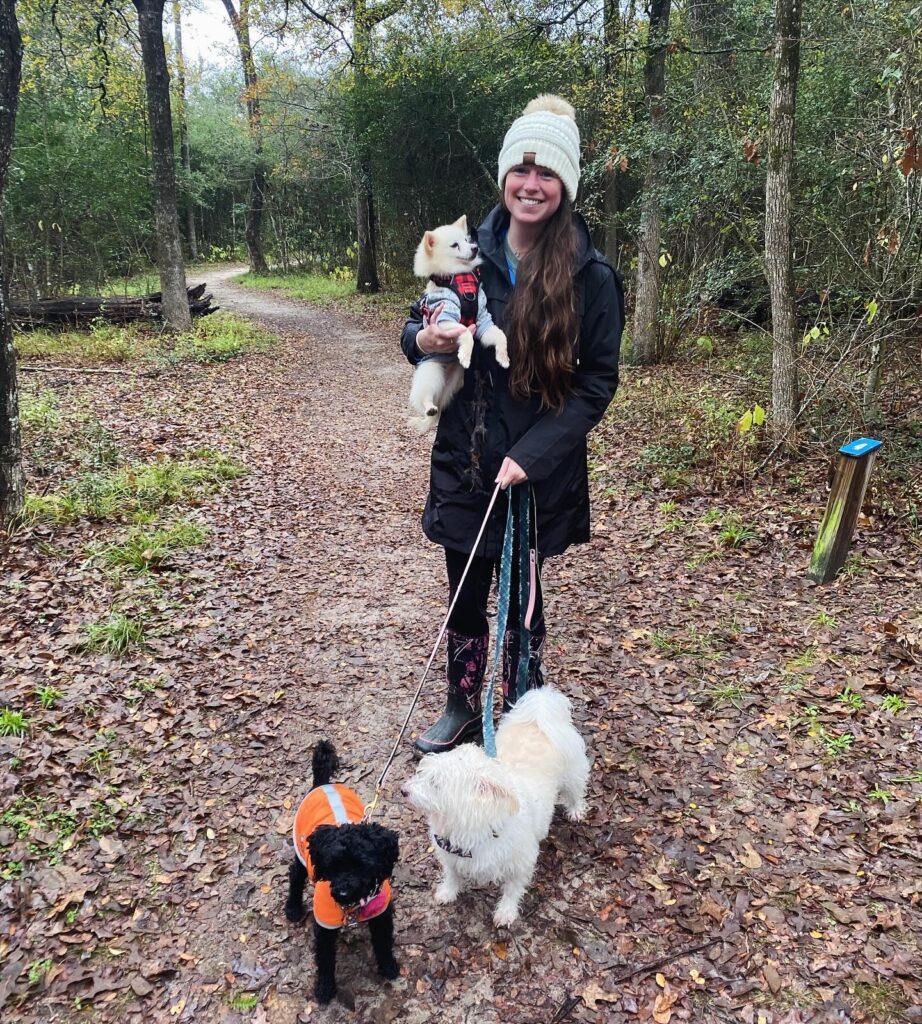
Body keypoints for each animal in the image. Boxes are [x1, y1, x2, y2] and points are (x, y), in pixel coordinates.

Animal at [403, 688, 590, 929]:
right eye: (422, 774)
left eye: (434, 783)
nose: (404, 791)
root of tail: (539, 713)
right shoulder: (451, 856)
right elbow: (453, 875)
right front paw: (448, 892)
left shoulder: (520, 862)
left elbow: (512, 889)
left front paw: (506, 912)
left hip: (573, 775)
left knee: (575, 792)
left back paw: (575, 810)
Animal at [409, 214, 512, 430]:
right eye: (454, 245)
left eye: (466, 240)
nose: (474, 248)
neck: (460, 277)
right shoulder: (444, 319)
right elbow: (466, 334)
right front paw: (465, 354)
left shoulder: (483, 322)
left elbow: (500, 335)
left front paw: (503, 357)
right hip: (431, 374)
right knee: (424, 397)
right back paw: (429, 407)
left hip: (455, 382)